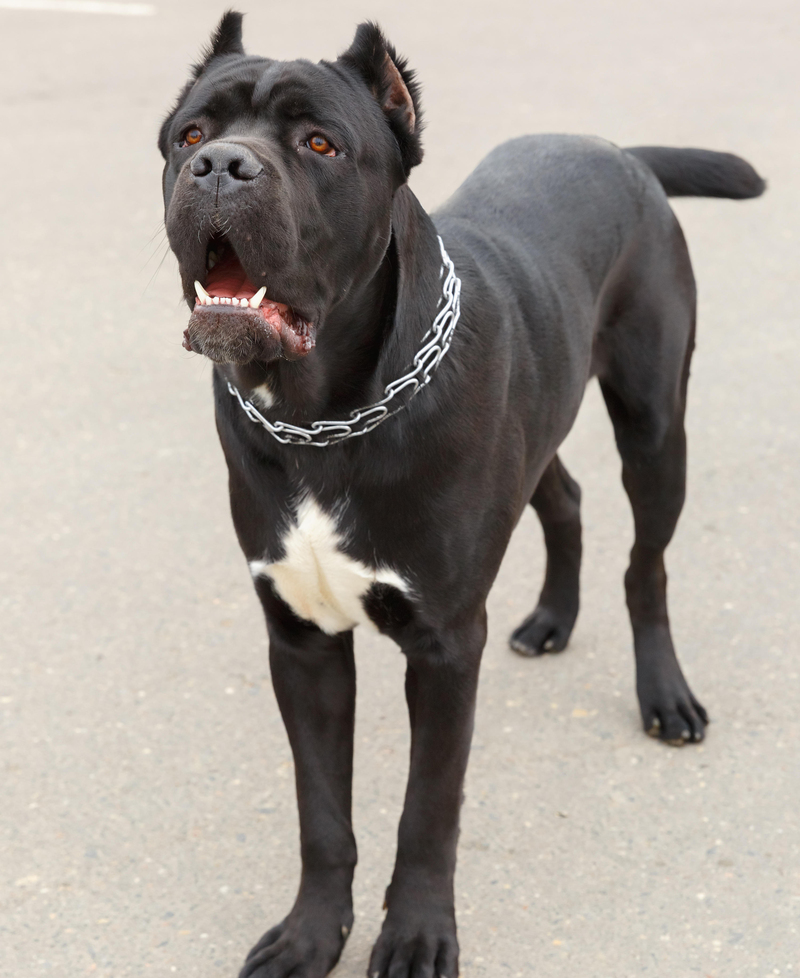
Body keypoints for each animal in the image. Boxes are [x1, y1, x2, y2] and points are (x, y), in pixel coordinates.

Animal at [158, 15, 764, 976]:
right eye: (188, 134)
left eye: (319, 143)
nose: (220, 165)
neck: (324, 414)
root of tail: (616, 149)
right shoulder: (301, 642)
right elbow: (321, 812)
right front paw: (310, 934)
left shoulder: (444, 649)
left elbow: (427, 810)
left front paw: (415, 935)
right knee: (566, 497)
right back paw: (551, 619)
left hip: (655, 420)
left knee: (647, 564)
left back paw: (665, 694)